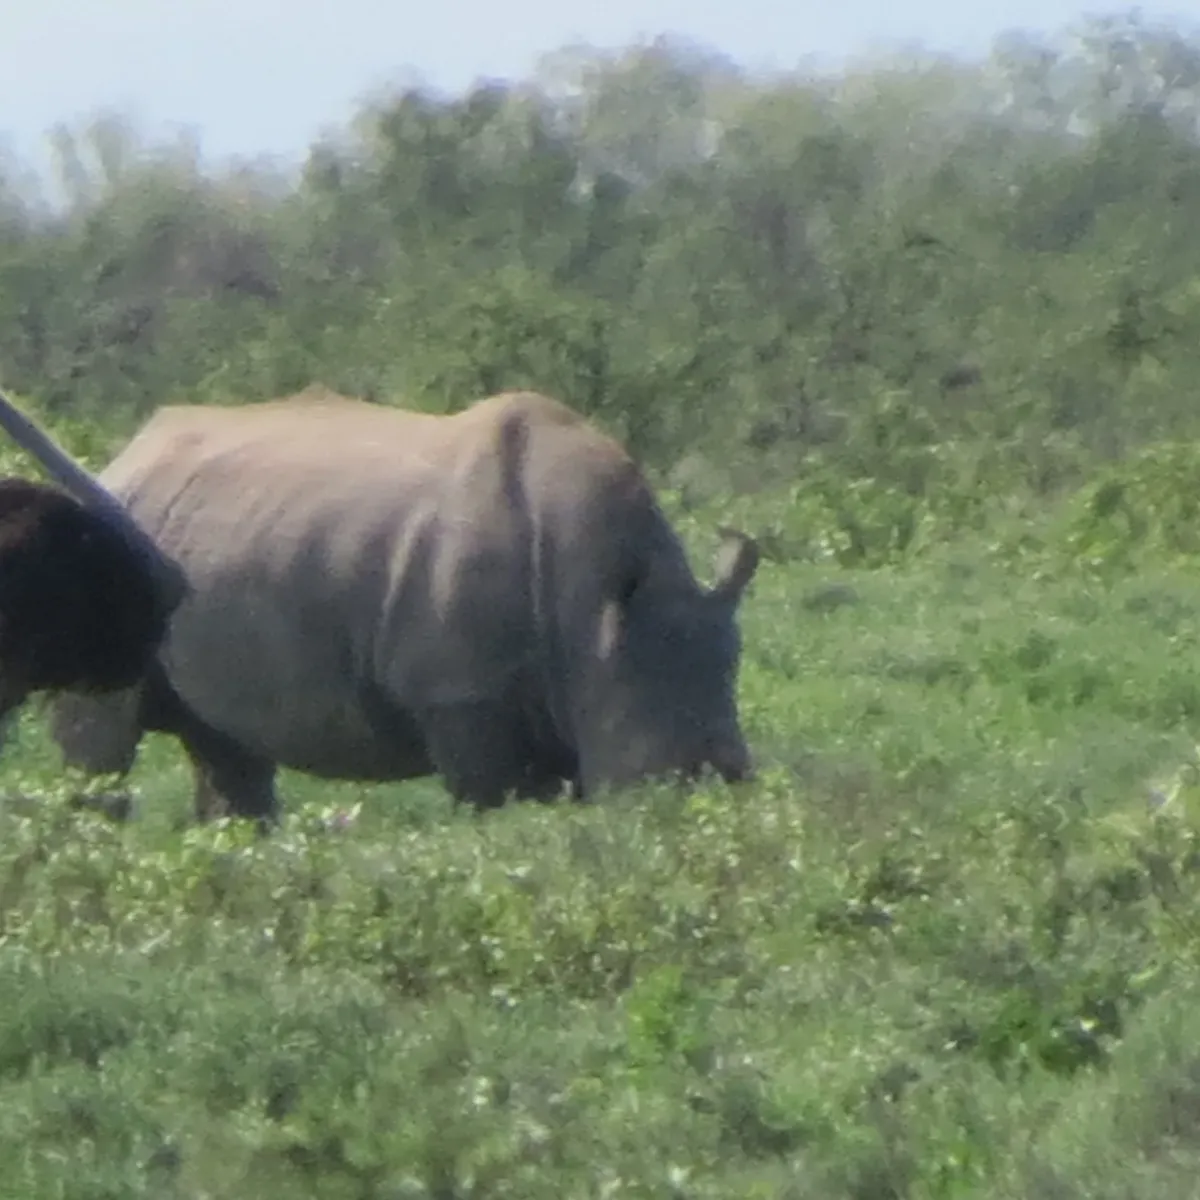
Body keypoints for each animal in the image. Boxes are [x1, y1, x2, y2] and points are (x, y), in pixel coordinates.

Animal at [50, 389, 760, 822]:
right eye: (668, 775)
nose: (725, 795)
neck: (593, 614)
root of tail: (123, 457)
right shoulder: (460, 695)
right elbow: (494, 802)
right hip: (103, 550)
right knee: (103, 752)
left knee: (224, 745)